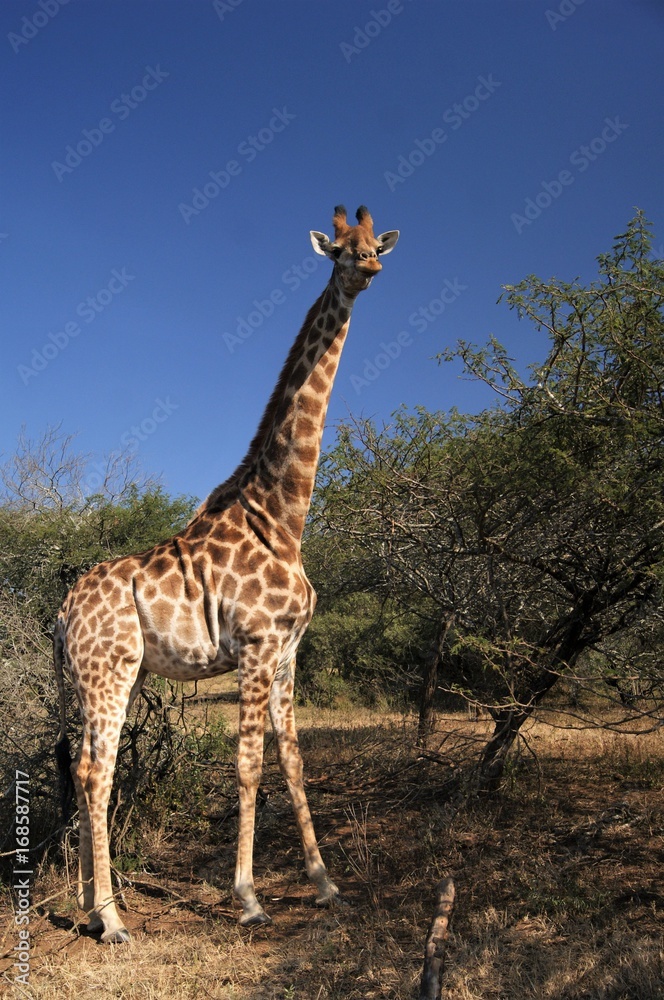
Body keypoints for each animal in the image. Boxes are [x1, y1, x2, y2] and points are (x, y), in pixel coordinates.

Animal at [54, 207, 396, 940]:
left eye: (373, 241)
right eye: (339, 250)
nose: (369, 266)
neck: (284, 516)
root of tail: (63, 614)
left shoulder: (289, 651)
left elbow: (293, 762)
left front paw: (326, 885)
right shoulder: (257, 648)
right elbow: (247, 765)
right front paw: (249, 898)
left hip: (99, 676)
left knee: (85, 765)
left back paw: (86, 903)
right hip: (111, 671)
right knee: (98, 771)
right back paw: (111, 917)